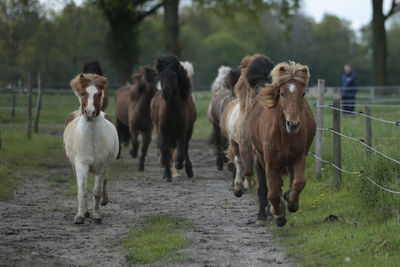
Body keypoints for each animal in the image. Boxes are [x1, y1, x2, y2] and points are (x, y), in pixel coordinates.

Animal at [63, 73, 119, 224]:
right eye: (83, 93)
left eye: (99, 94)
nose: (89, 113)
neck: (92, 139)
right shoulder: (81, 164)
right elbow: (82, 190)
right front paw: (80, 216)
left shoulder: (102, 165)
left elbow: (97, 191)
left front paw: (97, 216)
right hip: (74, 165)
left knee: (105, 180)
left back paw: (104, 201)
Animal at [150, 55, 197, 183]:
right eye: (160, 76)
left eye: (174, 75)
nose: (166, 92)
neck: (172, 111)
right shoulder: (162, 130)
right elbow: (165, 149)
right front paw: (167, 173)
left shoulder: (181, 131)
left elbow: (181, 152)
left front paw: (178, 165)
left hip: (189, 130)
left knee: (185, 147)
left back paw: (188, 170)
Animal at [219, 55, 276, 197]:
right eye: (254, 83)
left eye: (270, 80)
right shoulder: (244, 146)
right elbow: (247, 170)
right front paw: (247, 184)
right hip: (234, 143)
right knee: (238, 162)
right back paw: (238, 186)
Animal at [248, 61, 318, 228]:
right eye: (282, 93)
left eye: (303, 94)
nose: (293, 124)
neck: (283, 135)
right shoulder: (270, 163)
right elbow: (272, 192)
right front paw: (278, 215)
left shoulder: (298, 157)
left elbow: (298, 182)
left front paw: (291, 202)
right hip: (259, 158)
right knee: (263, 187)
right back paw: (262, 215)